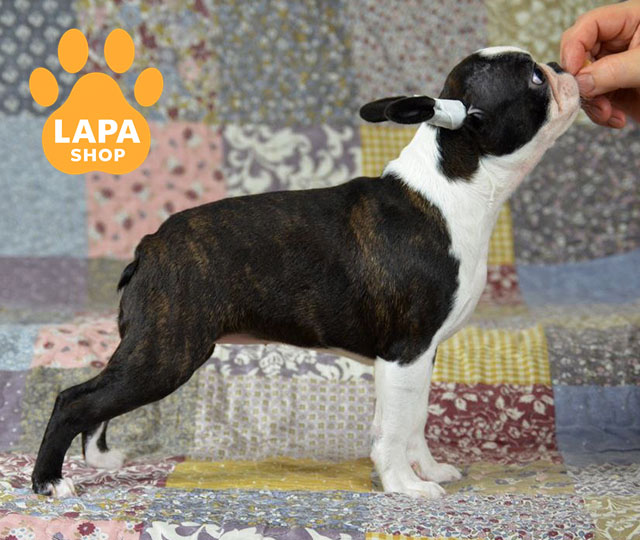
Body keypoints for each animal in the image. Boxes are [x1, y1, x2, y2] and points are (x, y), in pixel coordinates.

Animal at [32, 46, 579, 498]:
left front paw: (425, 470)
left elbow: (412, 420)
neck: (454, 185)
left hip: (153, 348)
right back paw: (49, 482)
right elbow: (395, 428)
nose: (561, 65)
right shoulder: (406, 351)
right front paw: (404, 485)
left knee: (98, 402)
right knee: (75, 400)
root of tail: (150, 246)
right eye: (534, 77)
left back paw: (98, 459)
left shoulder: (420, 356)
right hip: (167, 351)